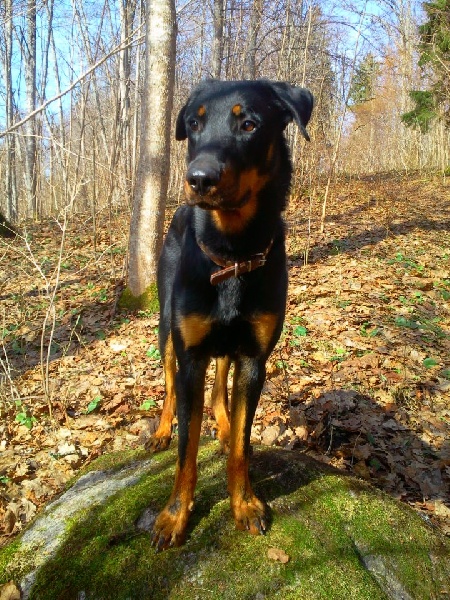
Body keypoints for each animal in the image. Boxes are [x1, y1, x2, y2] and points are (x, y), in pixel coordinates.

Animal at [148, 78, 312, 548]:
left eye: (249, 124)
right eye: (193, 124)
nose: (198, 179)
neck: (232, 253)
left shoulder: (254, 358)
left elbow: (241, 443)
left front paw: (245, 504)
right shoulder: (190, 355)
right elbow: (186, 450)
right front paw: (174, 517)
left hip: (227, 345)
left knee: (221, 385)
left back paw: (221, 425)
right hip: (167, 330)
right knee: (169, 386)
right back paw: (161, 431)